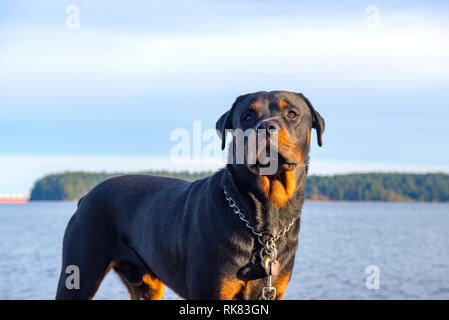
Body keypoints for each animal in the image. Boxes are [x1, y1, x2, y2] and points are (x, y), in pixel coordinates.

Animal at [55, 90, 322, 300]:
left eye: (292, 114)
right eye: (247, 116)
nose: (266, 127)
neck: (264, 214)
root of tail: (85, 198)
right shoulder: (210, 291)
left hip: (146, 284)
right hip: (79, 273)